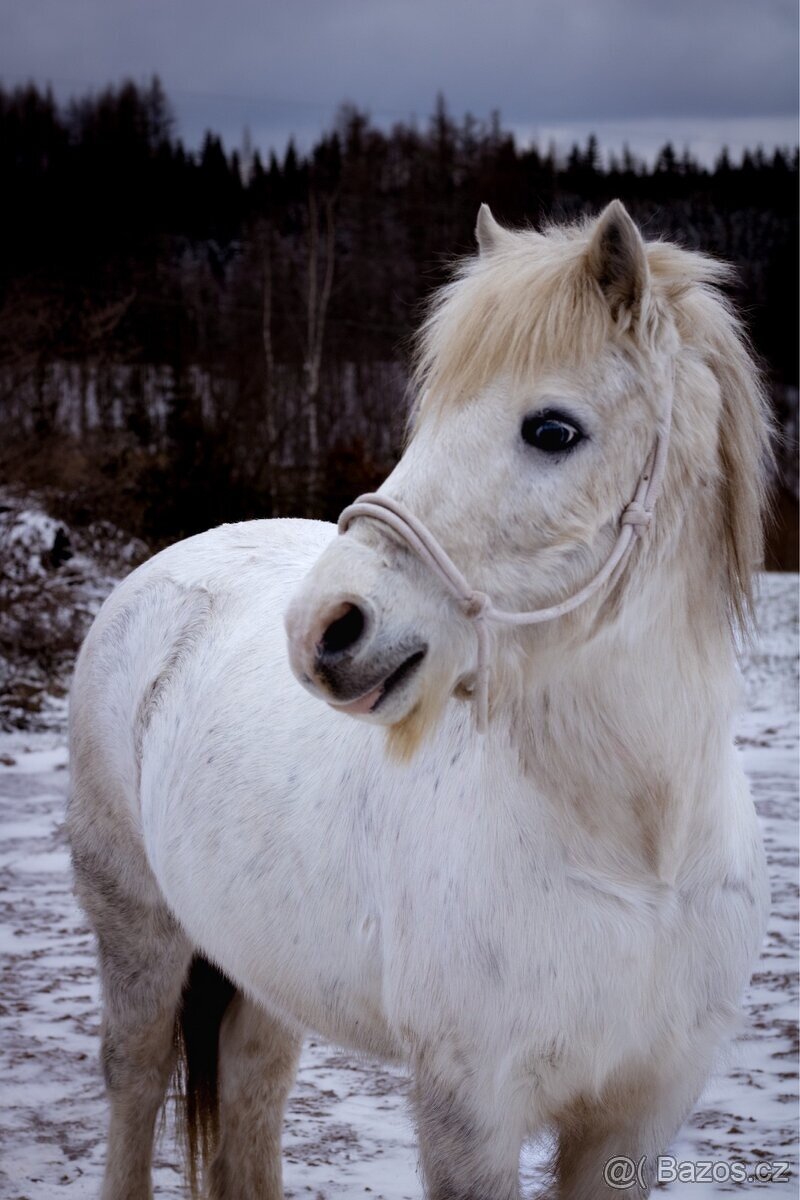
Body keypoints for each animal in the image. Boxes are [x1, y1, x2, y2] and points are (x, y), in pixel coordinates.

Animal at [67, 200, 772, 1200]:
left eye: (552, 430)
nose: (320, 628)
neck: (639, 856)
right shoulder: (468, 1113)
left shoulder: (638, 1115)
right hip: (138, 934)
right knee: (133, 1078)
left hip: (265, 971)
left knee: (250, 1089)